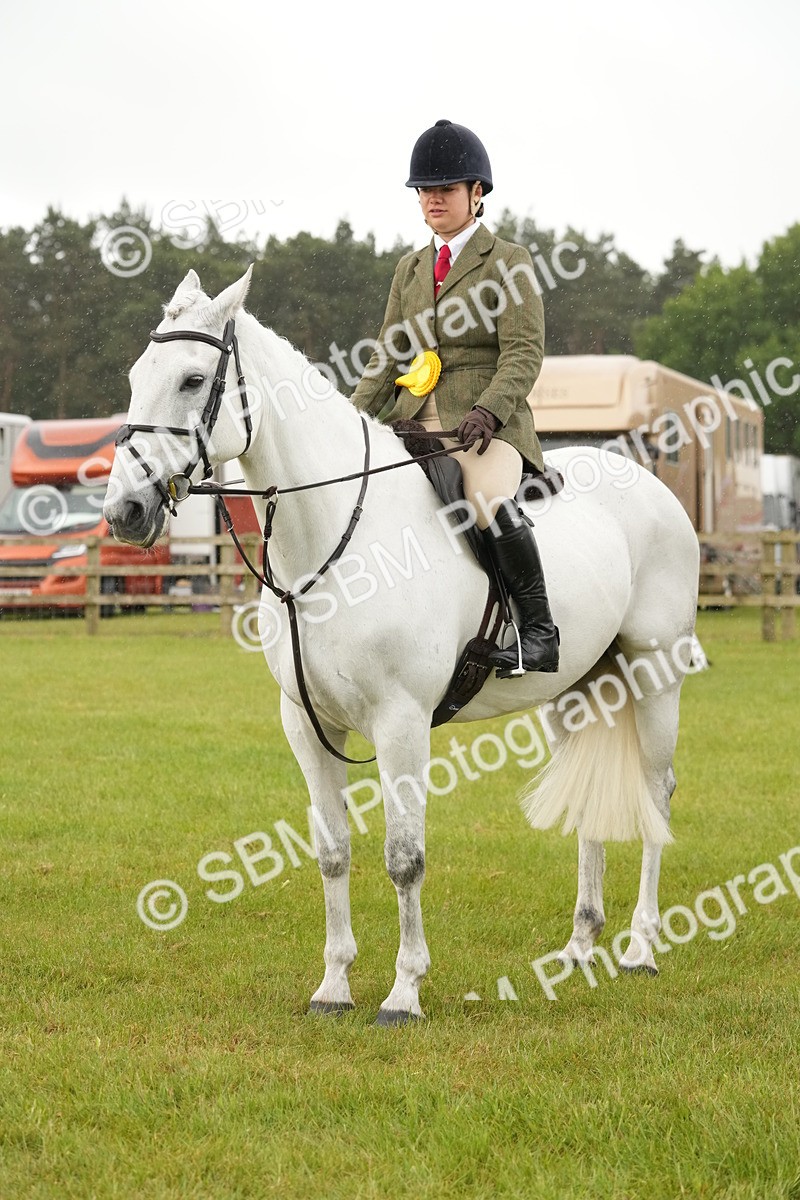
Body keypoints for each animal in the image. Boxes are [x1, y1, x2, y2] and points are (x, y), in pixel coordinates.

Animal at [105, 266, 700, 1024]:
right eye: (135, 376)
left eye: (190, 380)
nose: (124, 512)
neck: (330, 536)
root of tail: (647, 482)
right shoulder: (305, 723)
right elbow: (332, 851)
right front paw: (333, 986)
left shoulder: (401, 723)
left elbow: (404, 856)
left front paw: (404, 992)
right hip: (576, 692)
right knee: (591, 795)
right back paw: (577, 948)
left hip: (655, 674)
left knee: (656, 792)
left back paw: (641, 948)